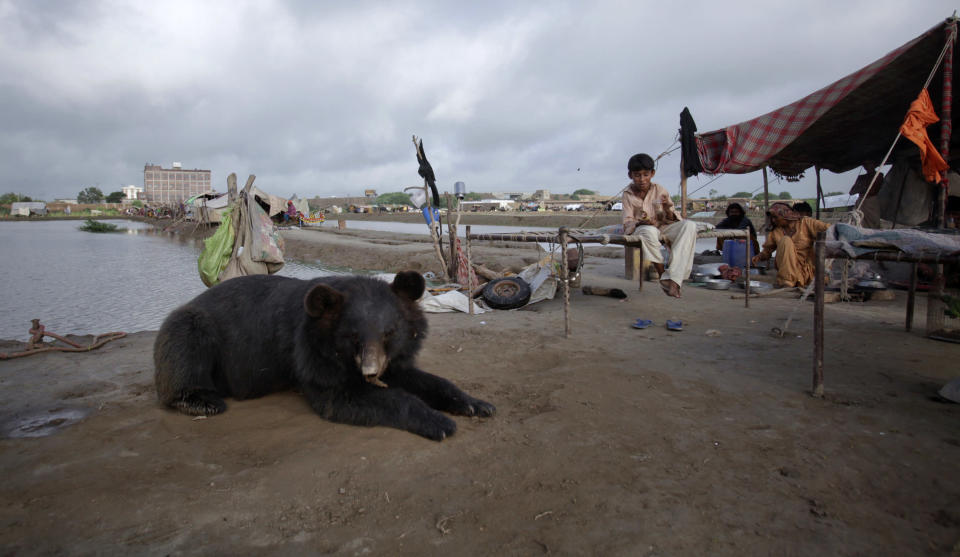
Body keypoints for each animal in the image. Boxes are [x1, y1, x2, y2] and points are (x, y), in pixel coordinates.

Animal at [152, 272, 496, 440]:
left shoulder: (394, 357)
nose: (370, 373)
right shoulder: (309, 353)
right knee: (185, 349)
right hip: (190, 327)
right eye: (353, 336)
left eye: (389, 333)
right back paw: (202, 401)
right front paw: (439, 422)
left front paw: (478, 405)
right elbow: (341, 396)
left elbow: (420, 378)